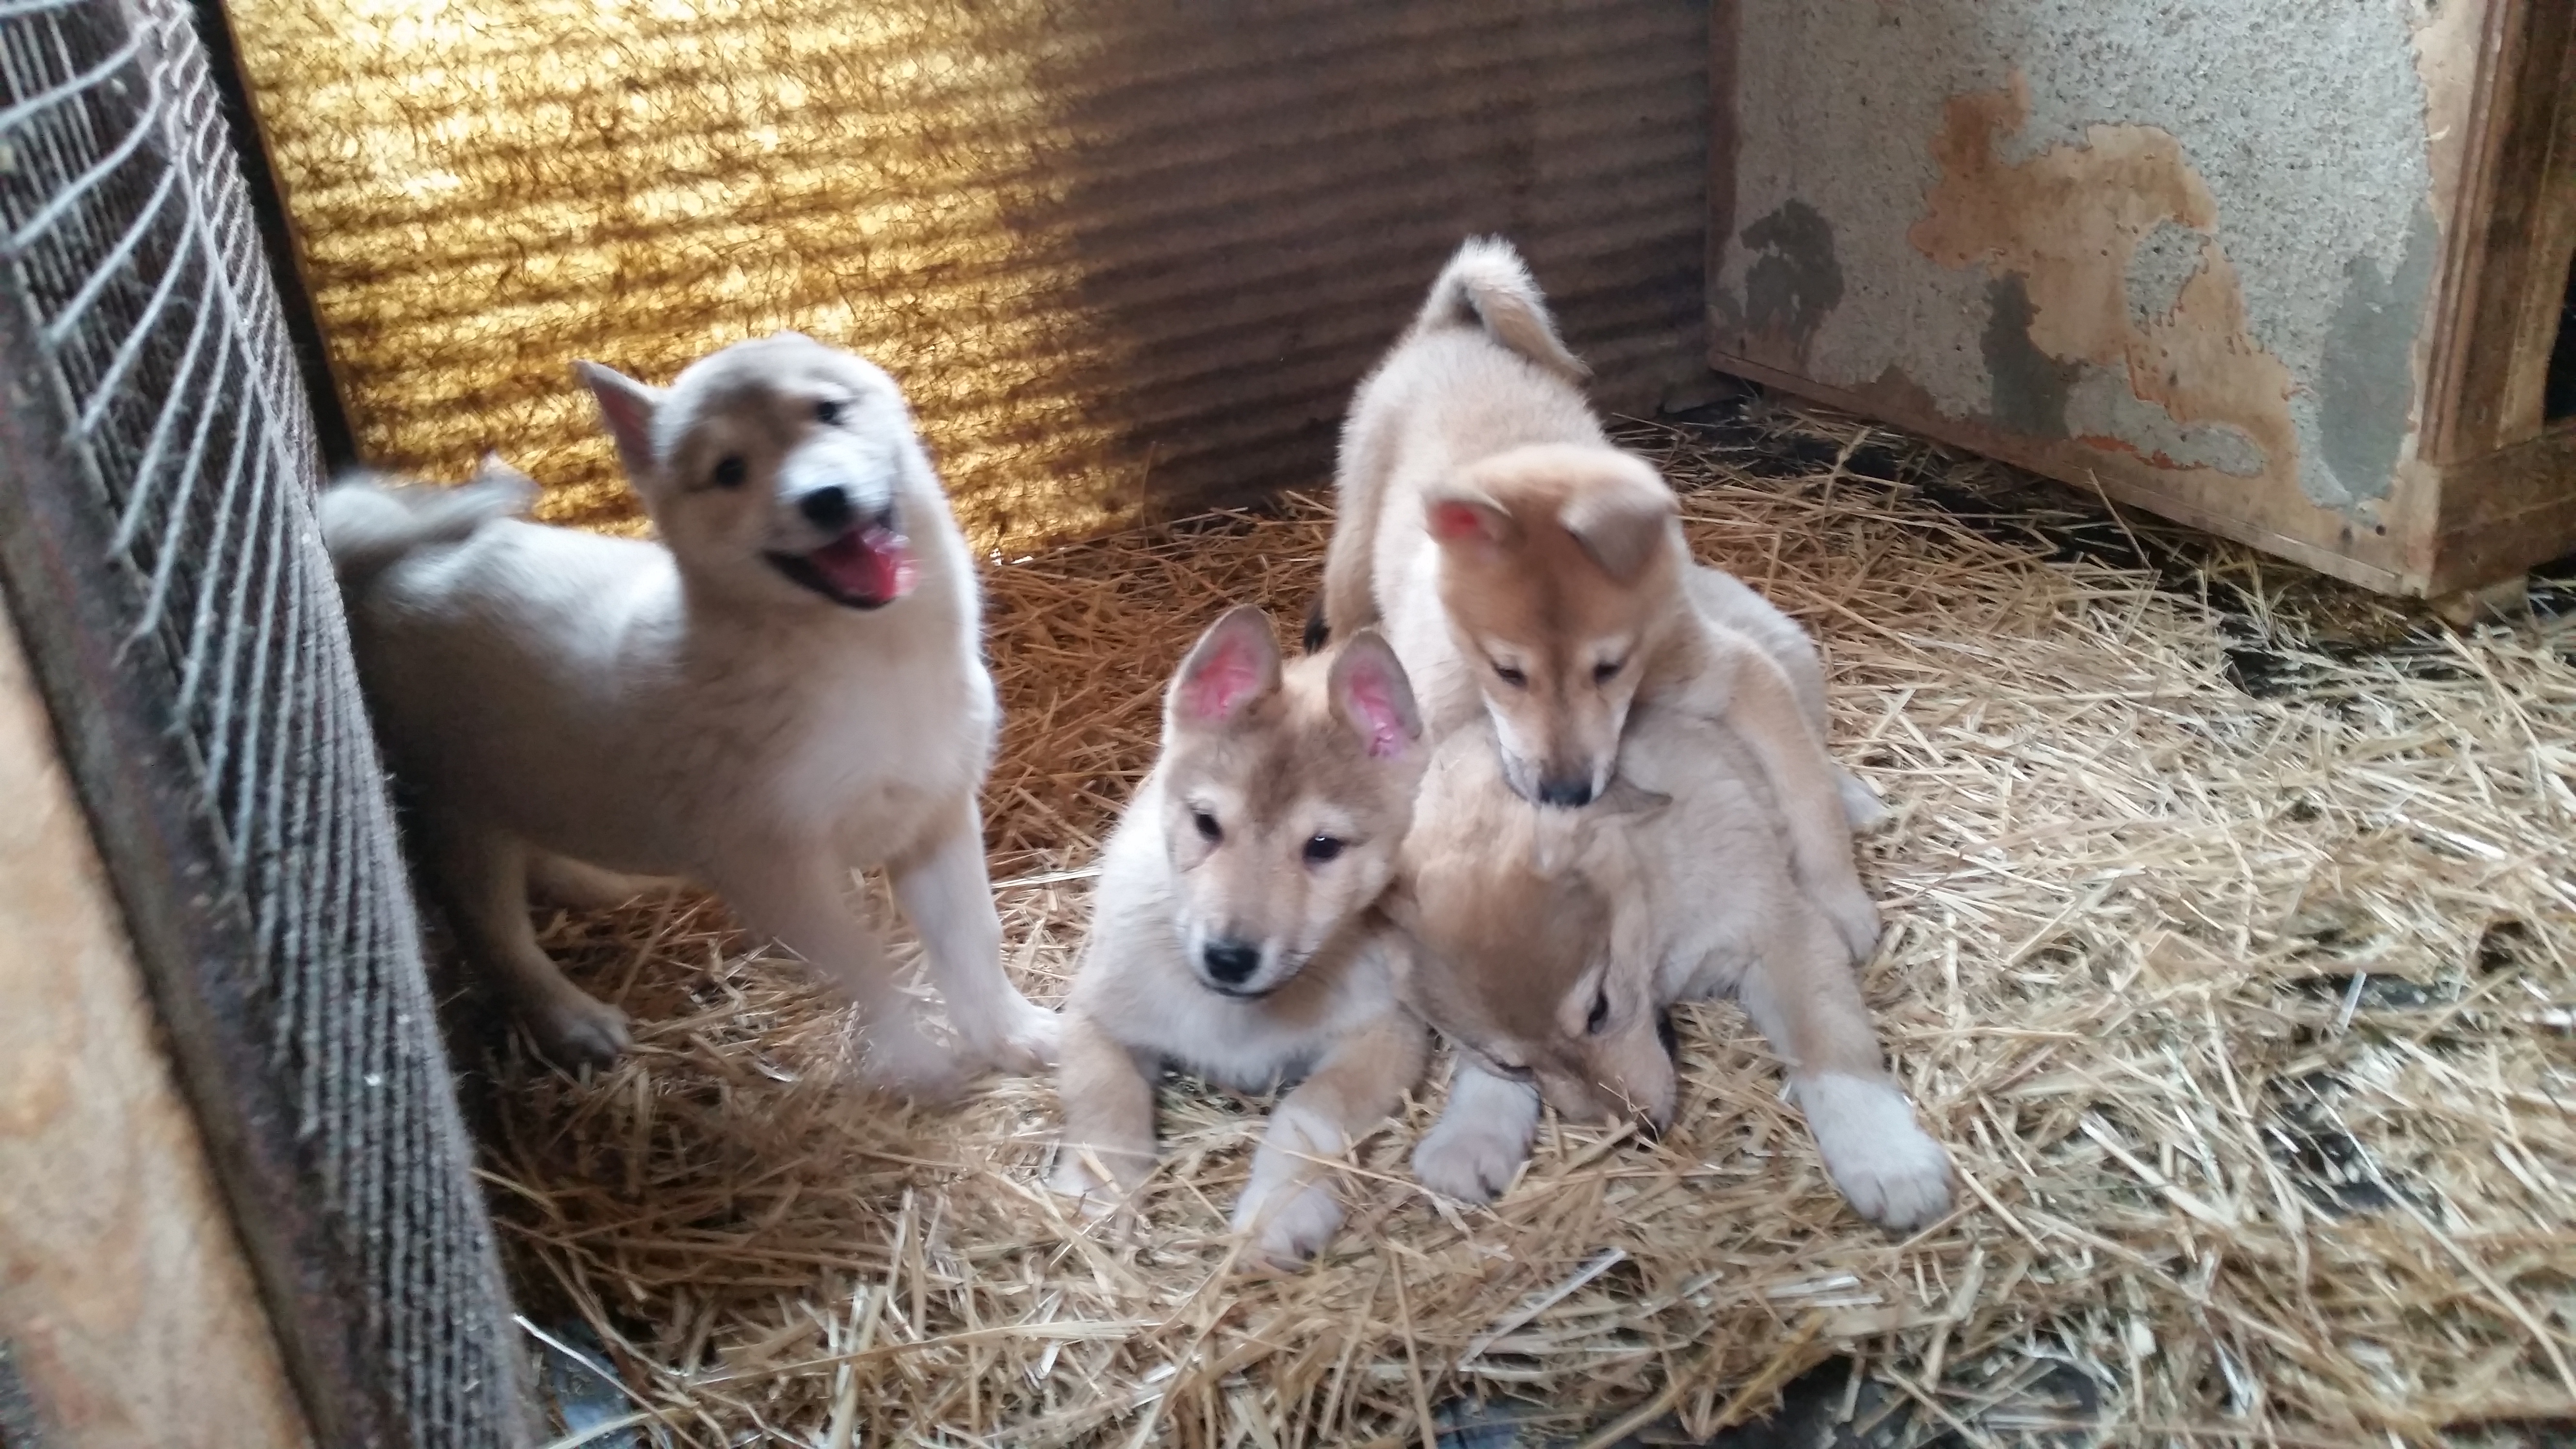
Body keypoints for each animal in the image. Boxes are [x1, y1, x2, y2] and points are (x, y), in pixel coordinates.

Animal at [320, 332, 1056, 1097]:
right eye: (729, 471)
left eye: (829, 412)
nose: (826, 498)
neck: (870, 659)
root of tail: (385, 565)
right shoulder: (776, 871)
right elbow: (866, 966)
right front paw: (917, 1062)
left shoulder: (935, 815)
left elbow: (972, 940)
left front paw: (1008, 1031)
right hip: (459, 809)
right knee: (497, 935)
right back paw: (570, 1018)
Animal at [1050, 607, 1430, 1269]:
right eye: (1205, 823)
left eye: (1323, 847)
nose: (1228, 959)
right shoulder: (1093, 1016)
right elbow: (1105, 1100)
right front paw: (1096, 1191)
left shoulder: (1390, 1034)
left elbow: (1310, 1112)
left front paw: (1282, 1209)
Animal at [1315, 238, 1882, 959]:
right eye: (1508, 673)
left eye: (1610, 669)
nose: (1565, 793)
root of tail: (1447, 329)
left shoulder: (1729, 672)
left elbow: (1805, 786)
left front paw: (1842, 898)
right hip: (1354, 547)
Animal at [1384, 699, 1954, 1230]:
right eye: (1513, 1065)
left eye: (1598, 1010)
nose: (1636, 1136)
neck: (1655, 909)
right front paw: (1472, 1132)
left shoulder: (1783, 934)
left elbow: (1829, 1045)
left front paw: (1885, 1156)